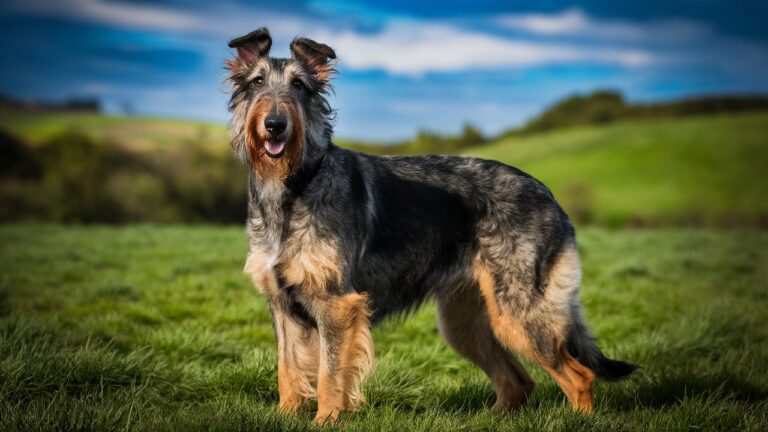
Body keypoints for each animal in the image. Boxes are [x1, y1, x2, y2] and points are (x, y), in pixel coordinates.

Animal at [225, 27, 640, 426]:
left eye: (298, 86)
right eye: (257, 82)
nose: (275, 125)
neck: (295, 185)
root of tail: (549, 194)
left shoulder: (336, 305)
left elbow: (330, 375)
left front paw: (326, 420)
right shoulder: (282, 306)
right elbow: (288, 370)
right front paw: (286, 416)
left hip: (519, 313)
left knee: (579, 376)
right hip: (465, 324)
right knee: (518, 381)